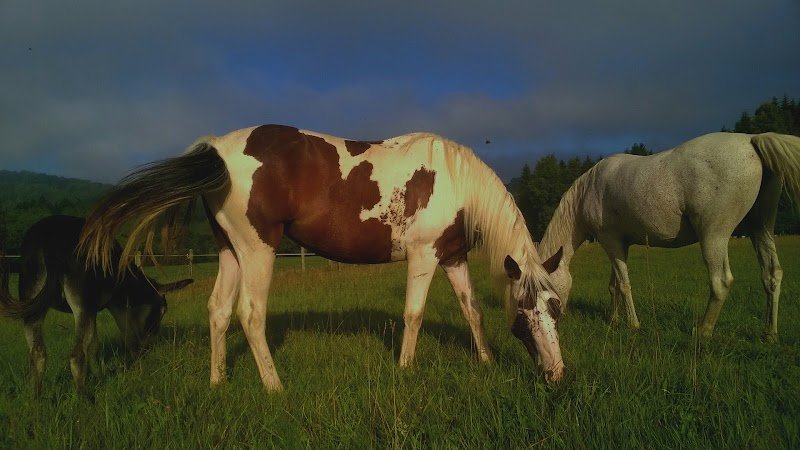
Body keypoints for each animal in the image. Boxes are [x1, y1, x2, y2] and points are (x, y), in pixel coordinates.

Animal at [0, 215, 193, 396]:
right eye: (159, 313)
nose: (149, 347)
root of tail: (50, 239)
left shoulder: (94, 310)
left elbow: (94, 344)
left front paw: (97, 373)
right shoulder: (101, 307)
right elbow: (99, 343)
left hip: (31, 299)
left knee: (37, 354)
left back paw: (37, 399)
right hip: (79, 302)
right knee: (76, 356)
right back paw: (85, 398)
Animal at [78, 124, 566, 391]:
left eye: (555, 309)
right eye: (526, 314)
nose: (557, 374)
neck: (453, 180)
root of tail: (217, 147)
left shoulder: (452, 257)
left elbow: (473, 311)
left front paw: (485, 361)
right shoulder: (424, 256)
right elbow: (414, 314)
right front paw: (405, 369)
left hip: (229, 250)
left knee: (218, 310)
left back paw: (218, 381)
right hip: (258, 249)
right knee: (250, 313)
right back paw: (275, 387)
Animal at [537, 132, 800, 342]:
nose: (552, 323)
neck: (588, 190)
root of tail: (751, 139)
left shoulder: (609, 240)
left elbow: (623, 285)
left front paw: (633, 324)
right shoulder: (619, 244)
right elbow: (614, 285)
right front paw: (613, 320)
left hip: (714, 236)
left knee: (721, 282)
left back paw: (703, 331)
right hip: (760, 228)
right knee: (771, 275)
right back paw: (769, 333)